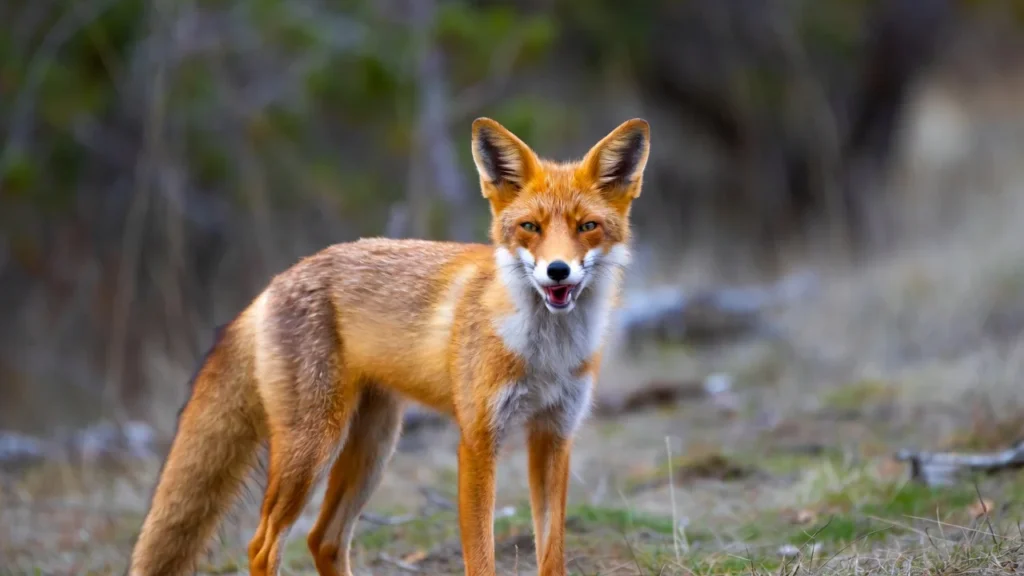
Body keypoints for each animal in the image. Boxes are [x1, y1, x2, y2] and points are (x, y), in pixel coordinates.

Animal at [128, 117, 651, 576]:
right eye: (530, 227)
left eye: (587, 227)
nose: (557, 271)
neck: (545, 353)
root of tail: (273, 284)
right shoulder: (478, 440)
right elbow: (480, 558)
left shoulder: (554, 435)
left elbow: (552, 554)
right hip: (312, 447)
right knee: (263, 544)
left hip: (374, 447)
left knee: (323, 539)